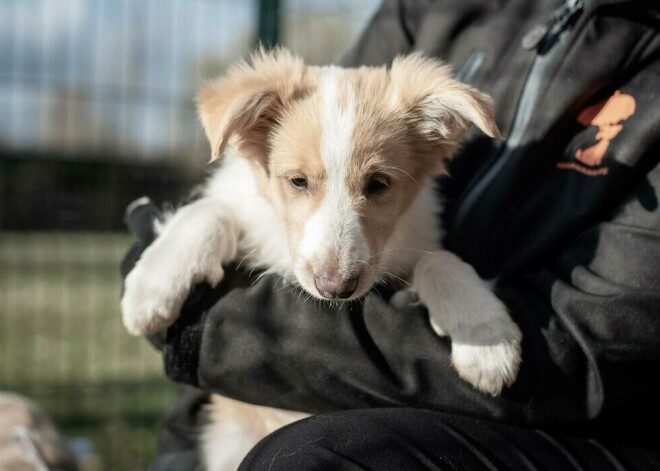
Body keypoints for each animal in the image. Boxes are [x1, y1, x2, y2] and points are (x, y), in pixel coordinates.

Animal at [118, 48, 520, 471]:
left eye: (379, 184)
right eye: (297, 181)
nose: (336, 288)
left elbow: (439, 259)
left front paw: (486, 338)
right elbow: (210, 210)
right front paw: (151, 290)